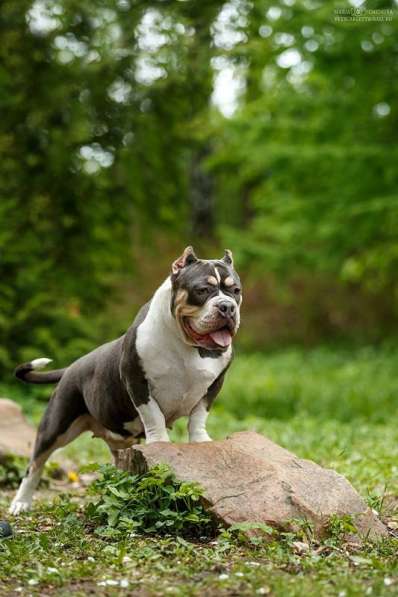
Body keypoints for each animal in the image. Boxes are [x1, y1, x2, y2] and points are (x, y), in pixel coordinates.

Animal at [10, 246, 243, 512]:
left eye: (235, 291)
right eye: (202, 290)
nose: (227, 307)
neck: (187, 345)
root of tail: (72, 367)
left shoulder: (214, 385)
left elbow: (198, 415)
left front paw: (200, 439)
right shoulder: (136, 380)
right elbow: (153, 414)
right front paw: (159, 441)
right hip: (56, 426)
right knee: (35, 465)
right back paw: (21, 503)